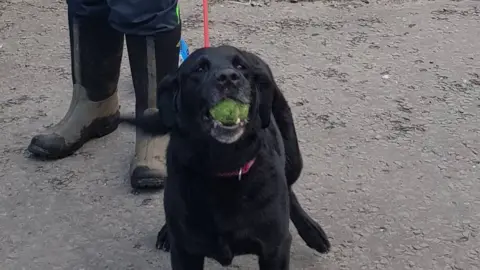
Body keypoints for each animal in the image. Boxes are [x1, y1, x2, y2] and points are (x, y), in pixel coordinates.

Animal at [120, 45, 330, 268]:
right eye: (200, 69)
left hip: (293, 159)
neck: (223, 167)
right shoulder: (185, 252)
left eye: (240, 66)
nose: (229, 77)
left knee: (290, 190)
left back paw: (312, 231)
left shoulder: (275, 249)